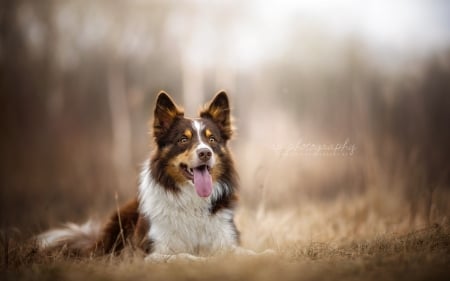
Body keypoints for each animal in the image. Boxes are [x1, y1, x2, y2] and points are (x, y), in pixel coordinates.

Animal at [36, 89, 244, 260]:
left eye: (212, 139)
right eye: (183, 139)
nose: (205, 153)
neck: (192, 201)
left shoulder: (226, 240)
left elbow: (245, 253)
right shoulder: (150, 253)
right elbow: (185, 256)